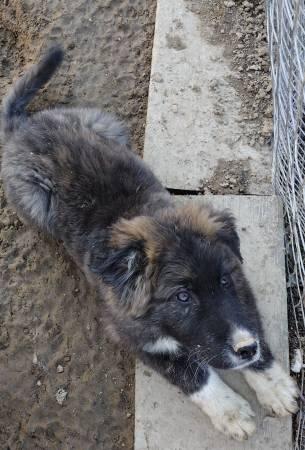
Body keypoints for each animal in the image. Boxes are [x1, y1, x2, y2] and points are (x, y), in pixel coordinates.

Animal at [0, 46, 296, 442]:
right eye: (182, 297)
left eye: (224, 281)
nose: (245, 350)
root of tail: (24, 127)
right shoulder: (130, 333)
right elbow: (191, 371)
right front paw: (231, 411)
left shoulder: (241, 287)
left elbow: (251, 321)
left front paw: (273, 384)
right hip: (34, 202)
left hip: (107, 125)